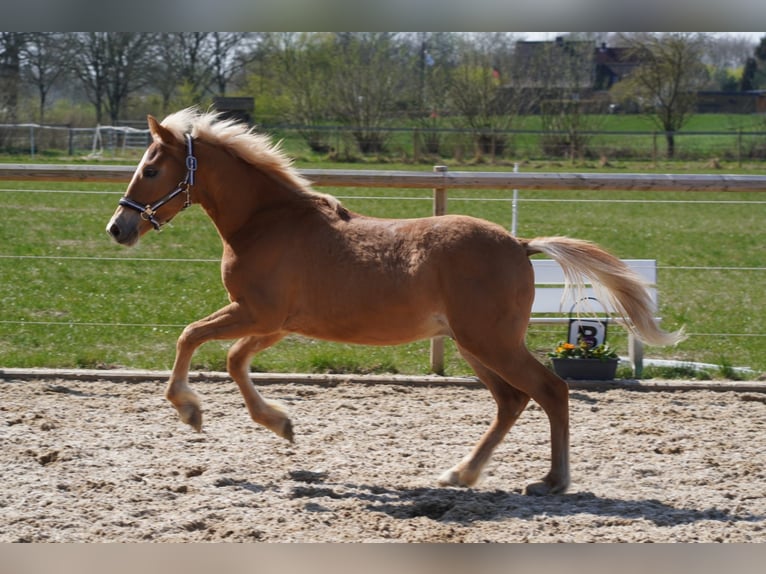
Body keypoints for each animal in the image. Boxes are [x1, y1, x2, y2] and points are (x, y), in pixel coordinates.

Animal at [106, 108, 684, 495]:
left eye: (151, 170)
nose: (118, 228)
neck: (267, 222)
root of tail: (519, 244)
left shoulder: (257, 314)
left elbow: (192, 337)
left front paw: (190, 410)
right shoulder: (274, 324)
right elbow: (233, 360)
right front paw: (282, 424)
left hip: (490, 342)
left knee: (551, 390)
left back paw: (551, 481)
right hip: (474, 345)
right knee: (512, 400)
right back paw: (461, 473)